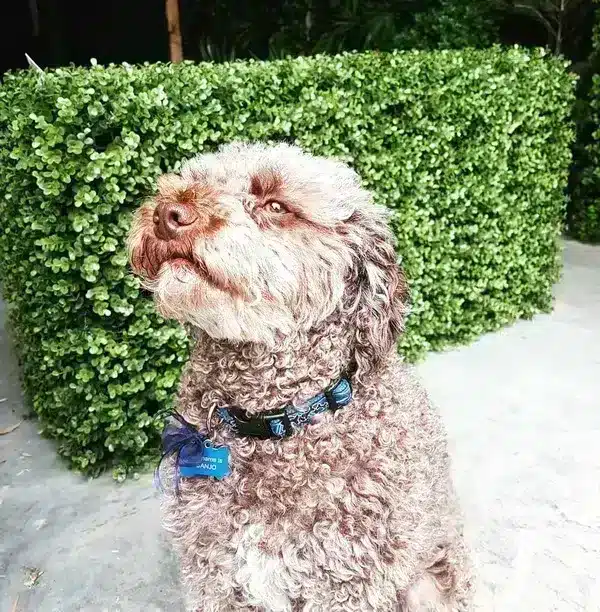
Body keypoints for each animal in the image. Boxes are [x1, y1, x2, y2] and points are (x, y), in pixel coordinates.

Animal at [127, 141, 474, 608]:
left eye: (276, 205)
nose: (168, 213)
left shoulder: (347, 584)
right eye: (194, 179)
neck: (273, 423)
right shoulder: (213, 575)